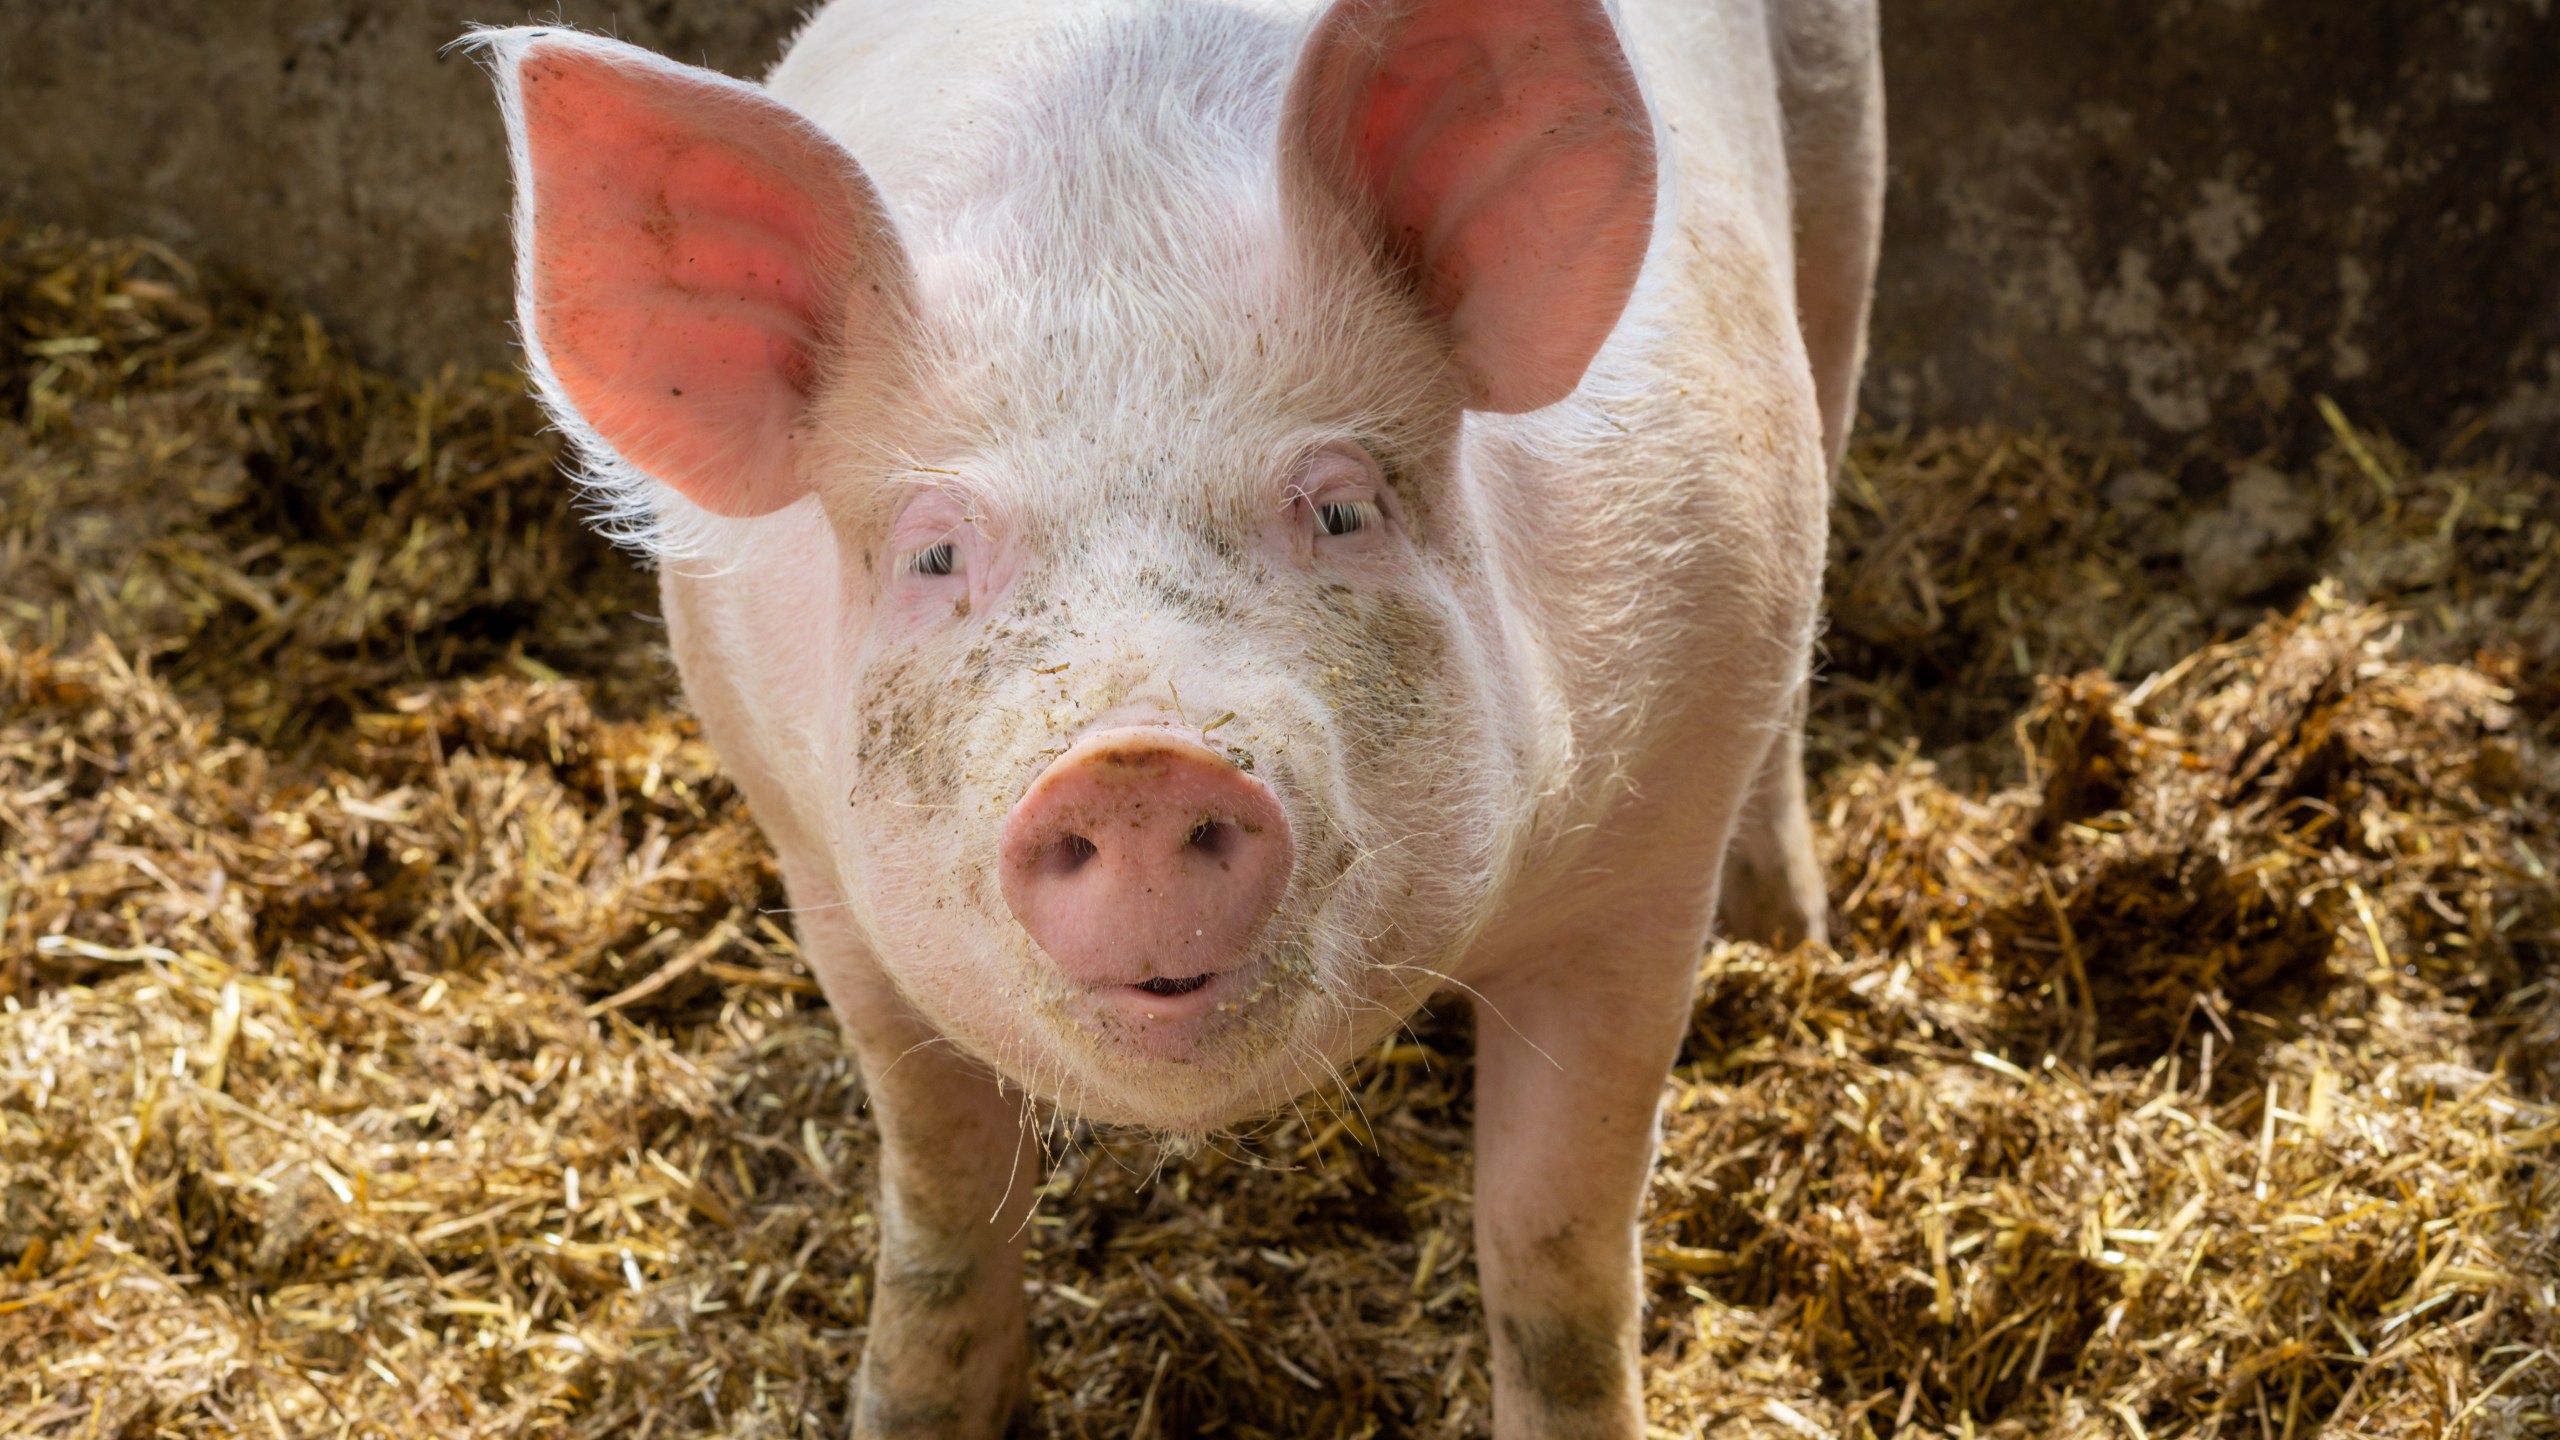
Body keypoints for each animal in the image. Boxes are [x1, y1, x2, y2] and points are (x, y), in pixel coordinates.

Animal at [474, 0, 1879, 1432]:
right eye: (933, 555)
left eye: (1340, 508)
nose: (1135, 765)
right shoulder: (821, 876)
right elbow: (939, 1207)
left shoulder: (1646, 862)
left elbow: (1556, 1254)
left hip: (1840, 183)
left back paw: (1790, 930)